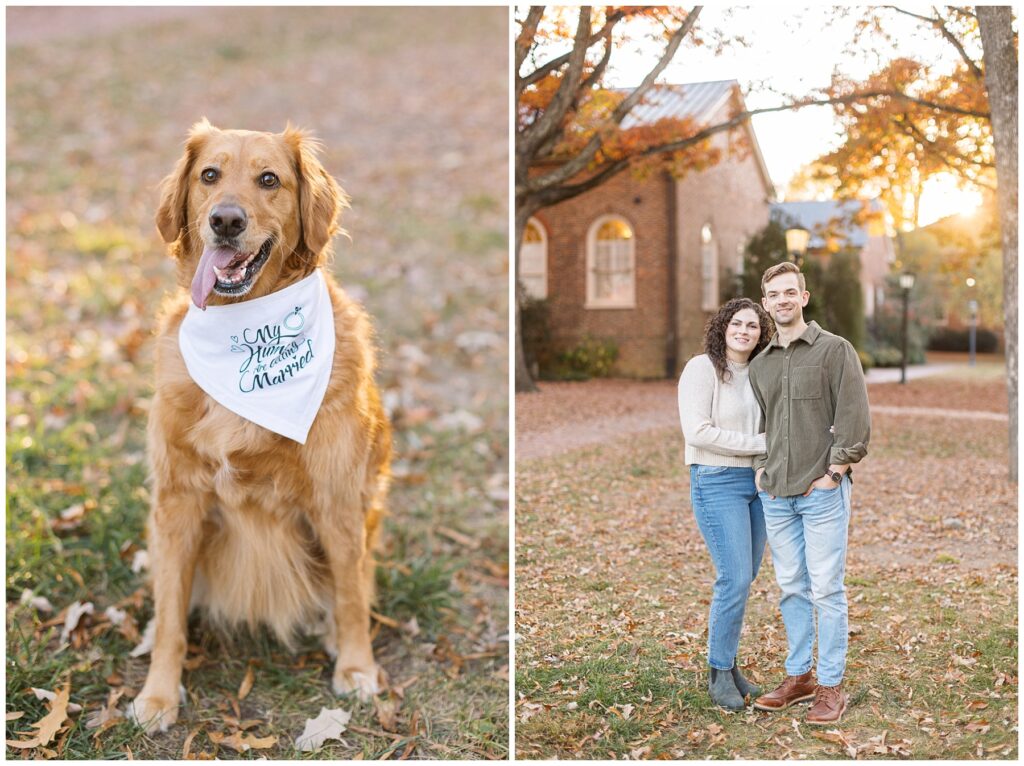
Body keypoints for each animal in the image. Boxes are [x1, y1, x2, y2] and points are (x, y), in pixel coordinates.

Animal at [131, 118, 391, 729]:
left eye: (269, 179)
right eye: (209, 175)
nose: (225, 220)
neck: (244, 330)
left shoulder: (337, 497)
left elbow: (350, 596)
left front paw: (357, 668)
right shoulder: (177, 500)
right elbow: (172, 614)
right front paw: (159, 693)